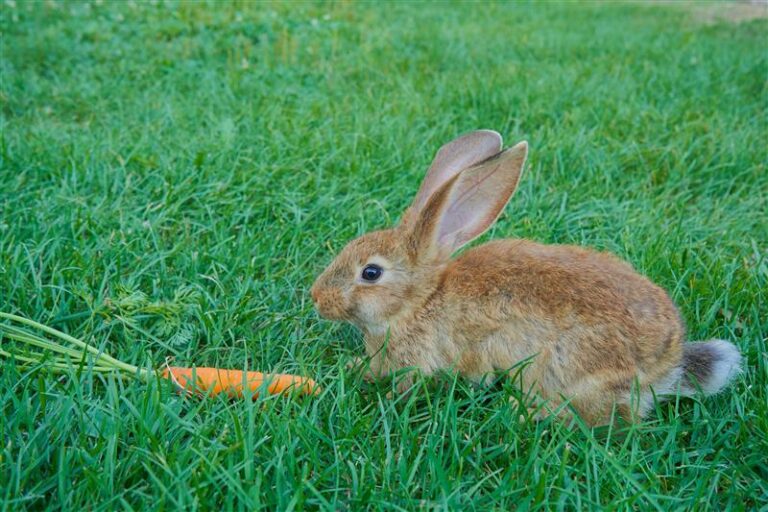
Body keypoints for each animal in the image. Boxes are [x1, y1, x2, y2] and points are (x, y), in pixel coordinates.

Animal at [310, 130, 742, 425]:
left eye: (370, 273)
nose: (316, 297)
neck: (420, 301)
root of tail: (666, 363)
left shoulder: (423, 358)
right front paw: (353, 368)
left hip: (566, 369)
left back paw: (523, 412)